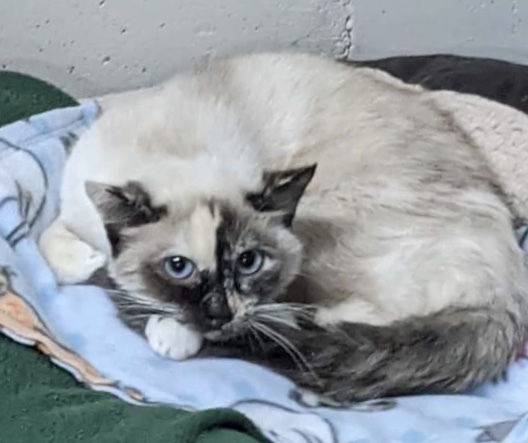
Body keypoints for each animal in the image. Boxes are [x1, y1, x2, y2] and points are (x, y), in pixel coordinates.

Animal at [40, 52, 528, 402]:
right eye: (180, 267)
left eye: (248, 262)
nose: (219, 315)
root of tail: (508, 300)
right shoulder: (78, 203)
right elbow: (55, 247)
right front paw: (93, 263)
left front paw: (171, 330)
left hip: (325, 217)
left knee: (327, 318)